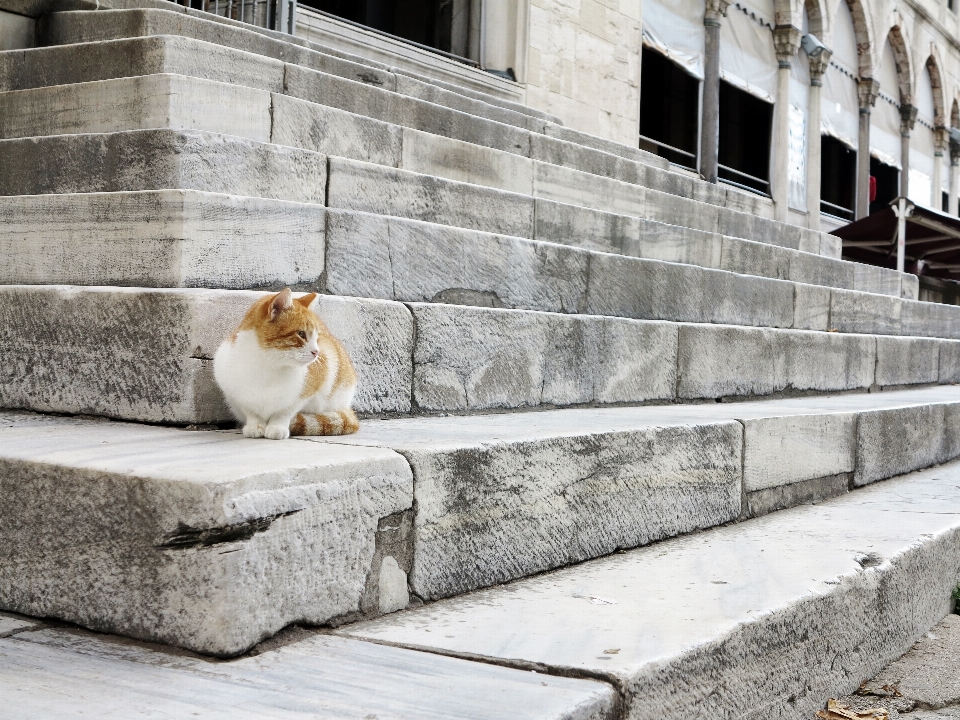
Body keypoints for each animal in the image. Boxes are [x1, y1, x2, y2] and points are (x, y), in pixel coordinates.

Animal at [214, 288, 360, 438]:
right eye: (301, 334)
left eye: (317, 337)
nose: (316, 352)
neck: (268, 363)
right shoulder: (234, 391)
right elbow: (251, 411)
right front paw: (255, 425)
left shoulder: (305, 391)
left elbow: (284, 411)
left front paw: (277, 427)